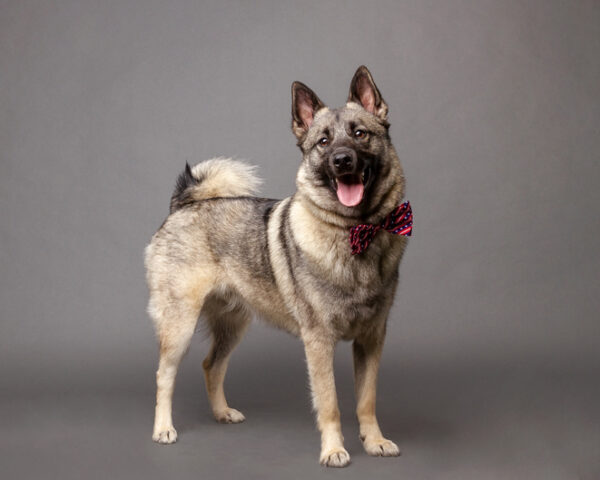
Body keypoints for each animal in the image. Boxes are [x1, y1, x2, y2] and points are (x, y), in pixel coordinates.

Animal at [144, 65, 412, 466]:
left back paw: (222, 413)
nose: (342, 160)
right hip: (179, 325)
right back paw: (163, 429)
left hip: (233, 324)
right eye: (322, 142)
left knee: (212, 365)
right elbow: (330, 403)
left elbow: (367, 399)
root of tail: (183, 205)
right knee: (165, 375)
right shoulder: (319, 342)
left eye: (360, 134)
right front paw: (335, 449)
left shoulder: (371, 339)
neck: (355, 231)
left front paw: (374, 441)